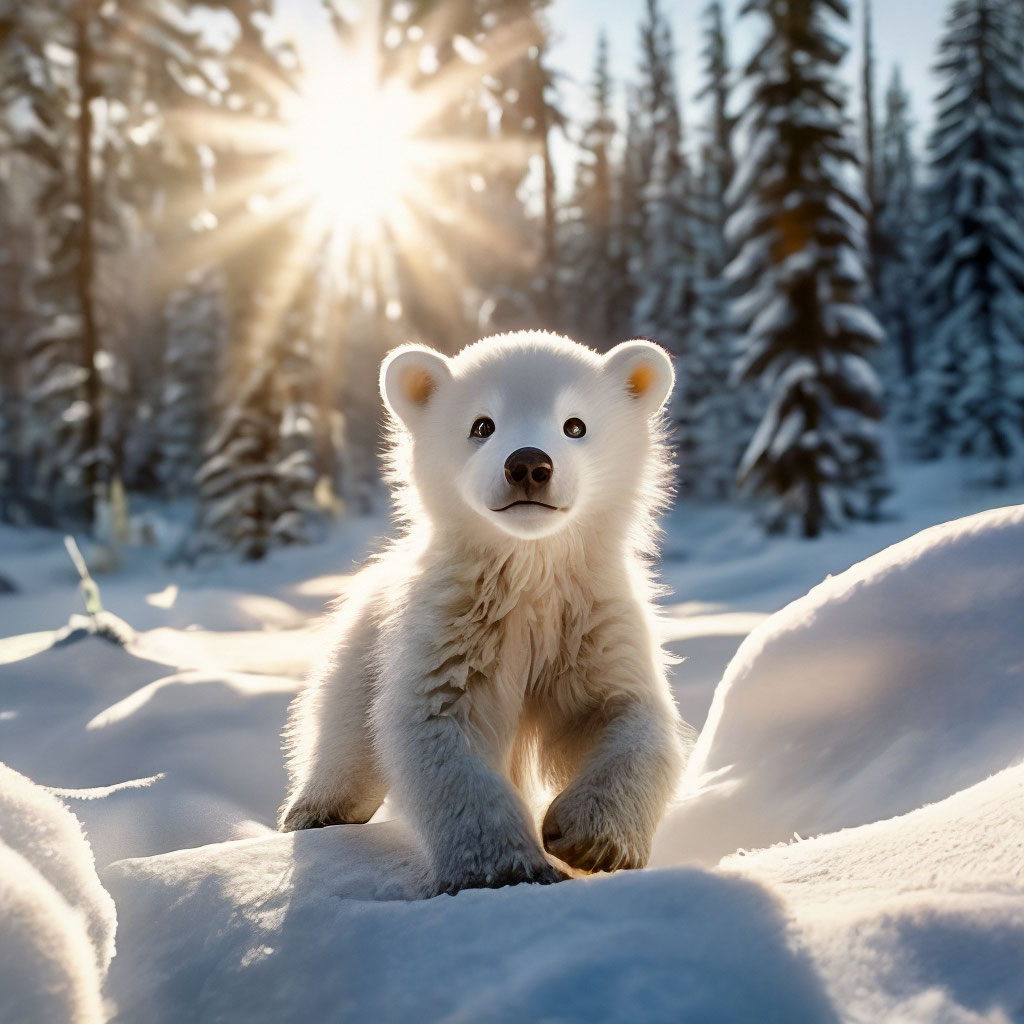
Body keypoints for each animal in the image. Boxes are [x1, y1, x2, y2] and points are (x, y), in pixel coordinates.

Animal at [279, 330, 689, 896]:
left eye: (575, 424)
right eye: (482, 424)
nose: (529, 465)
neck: (529, 576)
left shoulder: (590, 621)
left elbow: (627, 712)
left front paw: (591, 839)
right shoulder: (452, 630)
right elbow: (438, 728)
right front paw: (507, 870)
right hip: (363, 640)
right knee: (343, 730)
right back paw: (318, 813)